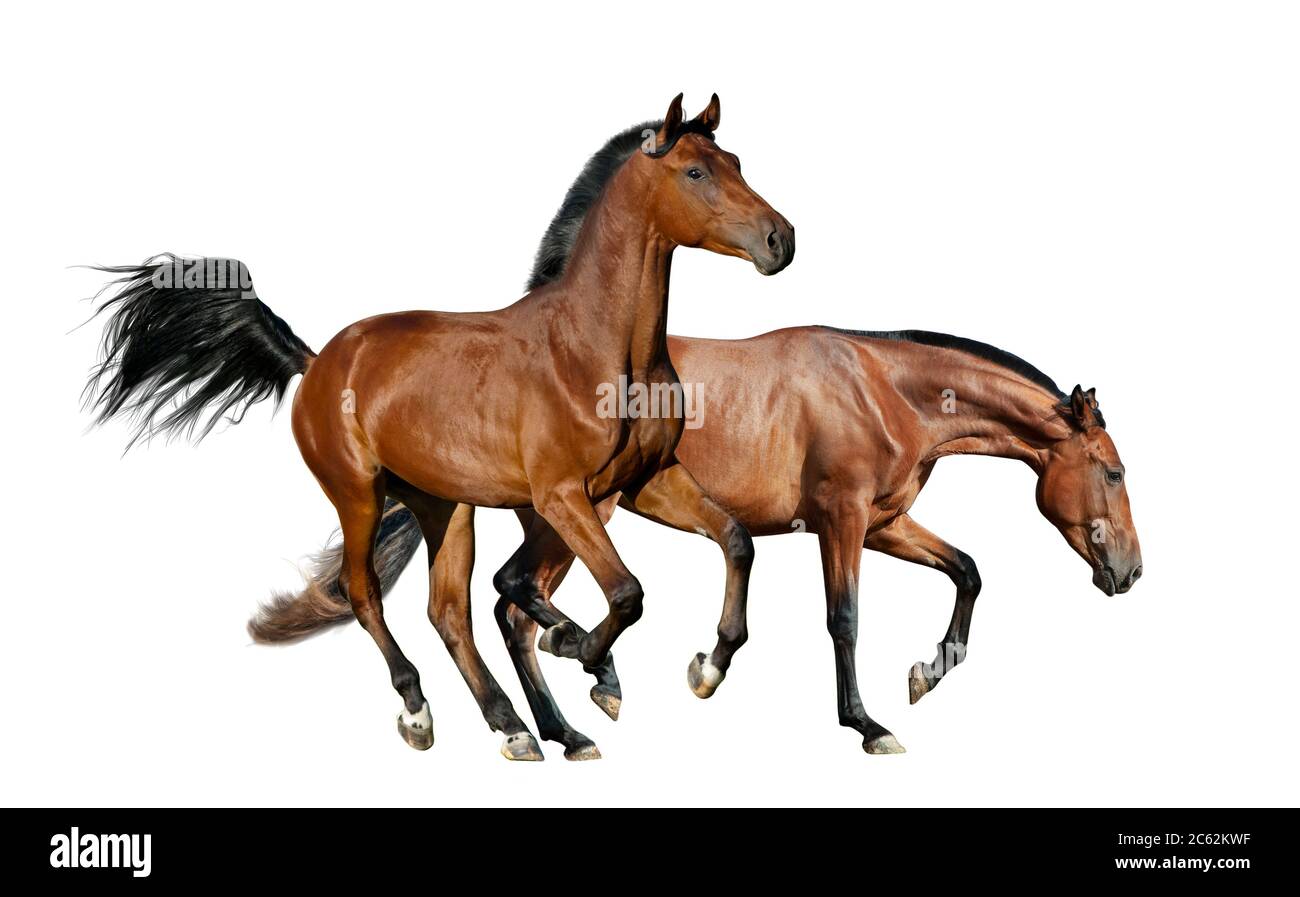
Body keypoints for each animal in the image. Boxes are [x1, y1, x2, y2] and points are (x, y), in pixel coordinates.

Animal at [82, 94, 795, 760]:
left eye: (736, 162)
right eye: (696, 171)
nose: (780, 240)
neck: (596, 347)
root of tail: (317, 361)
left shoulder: (648, 481)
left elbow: (735, 541)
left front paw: (705, 668)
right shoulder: (564, 495)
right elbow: (625, 592)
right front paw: (589, 660)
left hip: (446, 505)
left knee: (451, 610)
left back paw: (519, 728)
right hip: (359, 495)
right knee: (366, 593)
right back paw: (423, 711)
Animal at [275, 329, 1142, 756]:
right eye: (1113, 468)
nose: (1130, 570)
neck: (881, 386)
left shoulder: (884, 522)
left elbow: (967, 570)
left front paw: (929, 670)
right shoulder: (842, 520)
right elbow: (844, 620)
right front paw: (866, 725)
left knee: (501, 610)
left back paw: (559, 719)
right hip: (573, 514)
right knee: (504, 601)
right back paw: (562, 685)